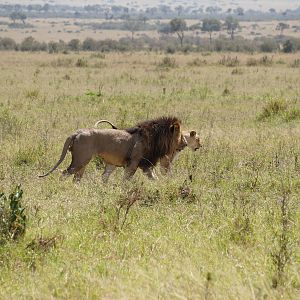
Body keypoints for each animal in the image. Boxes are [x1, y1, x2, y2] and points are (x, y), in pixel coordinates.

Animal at [38, 116, 186, 182]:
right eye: (179, 136)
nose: (184, 143)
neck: (154, 139)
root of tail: (76, 133)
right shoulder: (133, 163)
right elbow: (126, 180)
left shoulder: (142, 165)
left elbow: (154, 178)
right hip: (80, 160)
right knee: (64, 173)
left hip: (82, 162)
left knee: (76, 178)